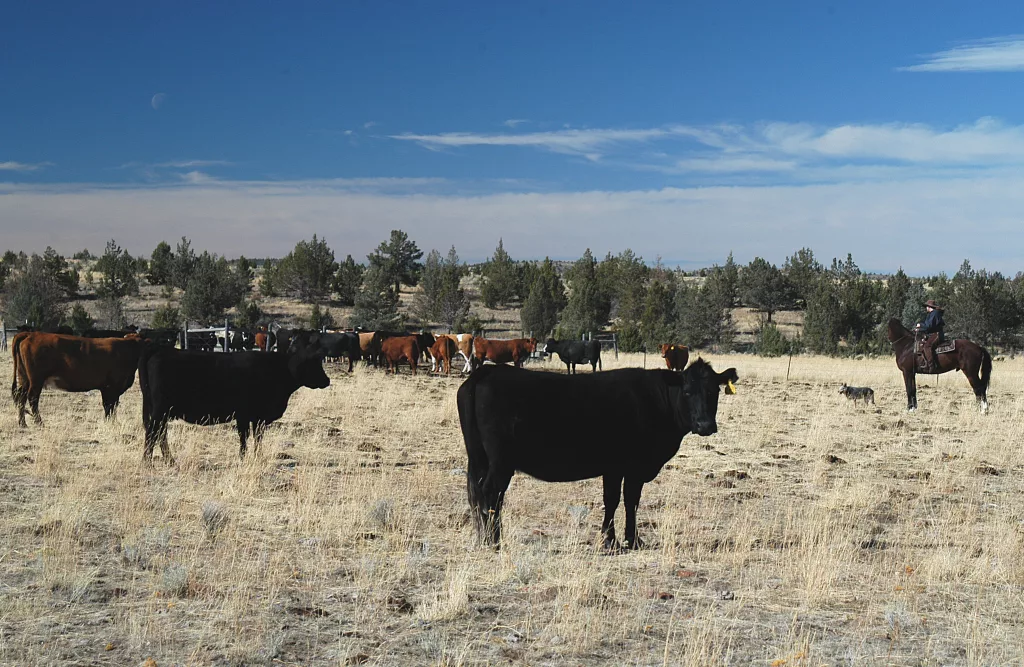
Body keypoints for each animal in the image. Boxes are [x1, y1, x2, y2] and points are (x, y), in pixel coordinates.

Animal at [11, 332, 147, 427]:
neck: (127, 349)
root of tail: (31, 334)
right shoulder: (110, 387)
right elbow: (109, 406)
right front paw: (110, 422)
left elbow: (111, 406)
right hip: (36, 380)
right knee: (32, 398)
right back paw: (39, 423)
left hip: (24, 378)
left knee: (21, 397)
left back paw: (22, 423)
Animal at [138, 333, 331, 461]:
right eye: (313, 362)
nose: (327, 380)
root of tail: (159, 349)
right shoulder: (246, 414)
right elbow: (245, 437)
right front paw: (244, 457)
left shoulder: (255, 417)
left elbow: (256, 437)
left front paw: (255, 456)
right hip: (160, 410)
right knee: (153, 432)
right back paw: (148, 461)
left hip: (160, 411)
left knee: (160, 433)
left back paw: (169, 460)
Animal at [458, 360, 739, 550]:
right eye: (688, 391)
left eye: (714, 391)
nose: (705, 425)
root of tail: (486, 371)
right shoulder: (629, 465)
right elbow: (624, 500)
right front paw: (623, 540)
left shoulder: (617, 467)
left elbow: (618, 500)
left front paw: (618, 539)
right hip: (500, 461)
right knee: (490, 494)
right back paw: (494, 541)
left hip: (479, 457)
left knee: (477, 494)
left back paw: (483, 539)